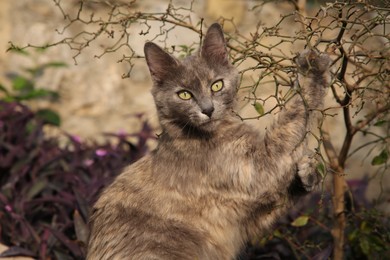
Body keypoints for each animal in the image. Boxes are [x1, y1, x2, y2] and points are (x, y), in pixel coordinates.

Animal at [87, 22, 330, 260]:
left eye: (216, 85)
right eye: (184, 94)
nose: (208, 109)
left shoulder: (247, 220)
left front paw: (309, 174)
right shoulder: (258, 168)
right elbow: (294, 114)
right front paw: (312, 67)